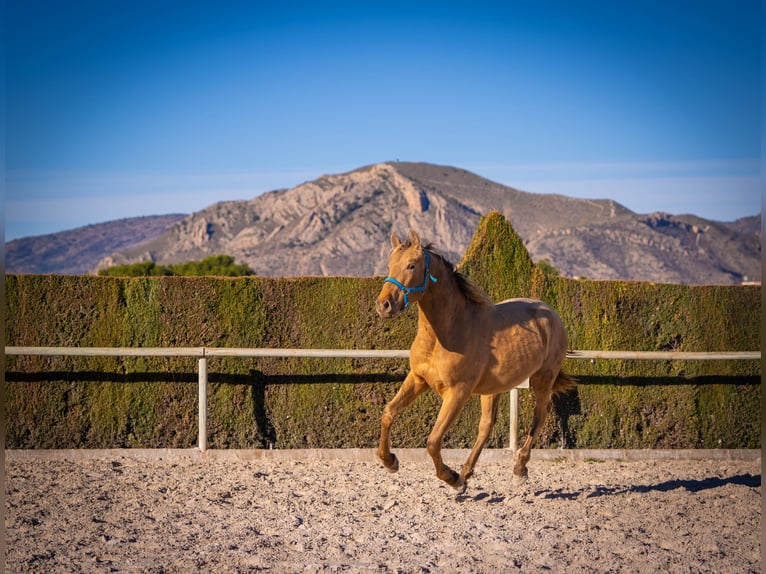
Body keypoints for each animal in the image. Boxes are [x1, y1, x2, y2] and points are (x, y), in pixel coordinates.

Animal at [378, 232, 576, 492]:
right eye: (389, 265)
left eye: (411, 265)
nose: (384, 305)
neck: (446, 333)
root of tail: (552, 314)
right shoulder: (418, 379)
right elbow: (389, 412)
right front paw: (390, 461)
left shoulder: (457, 392)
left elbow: (433, 441)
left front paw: (451, 478)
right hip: (494, 388)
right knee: (486, 426)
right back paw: (467, 471)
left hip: (543, 380)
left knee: (539, 416)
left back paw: (518, 469)